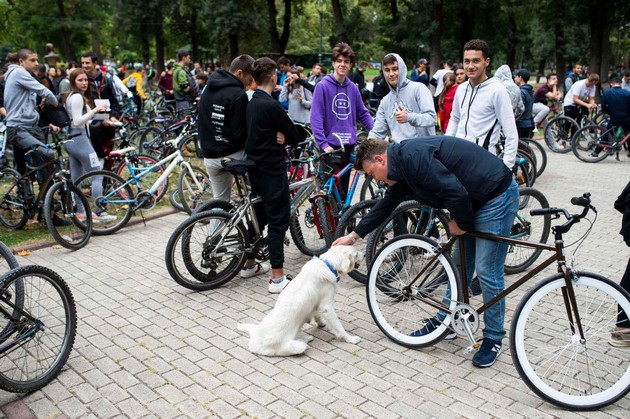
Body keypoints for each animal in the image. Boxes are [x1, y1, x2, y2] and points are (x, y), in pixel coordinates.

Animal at [238, 246, 366, 358]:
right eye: (356, 254)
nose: (365, 254)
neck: (328, 265)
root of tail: (254, 343)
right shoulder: (327, 306)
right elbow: (339, 327)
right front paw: (350, 339)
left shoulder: (317, 303)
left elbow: (316, 313)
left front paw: (320, 322)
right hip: (296, 347)